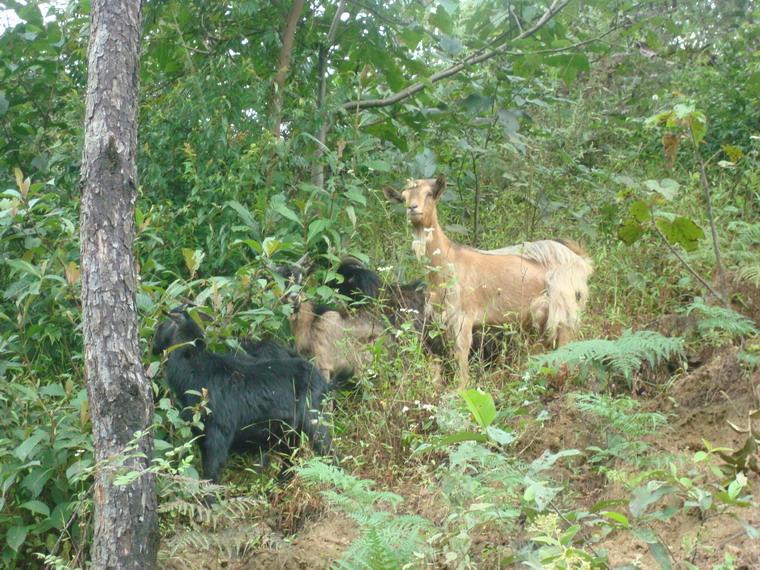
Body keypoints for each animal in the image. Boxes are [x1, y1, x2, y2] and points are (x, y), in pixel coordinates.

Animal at [152, 308, 332, 482]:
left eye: (162, 325)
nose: (153, 346)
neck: (194, 371)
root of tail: (324, 382)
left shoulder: (219, 432)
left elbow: (211, 472)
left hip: (313, 420)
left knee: (326, 448)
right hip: (288, 431)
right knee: (292, 456)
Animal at [386, 175, 592, 384]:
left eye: (429, 193)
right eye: (403, 197)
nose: (412, 208)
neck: (448, 260)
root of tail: (580, 260)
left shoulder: (463, 317)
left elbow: (461, 354)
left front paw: (461, 388)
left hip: (565, 312)